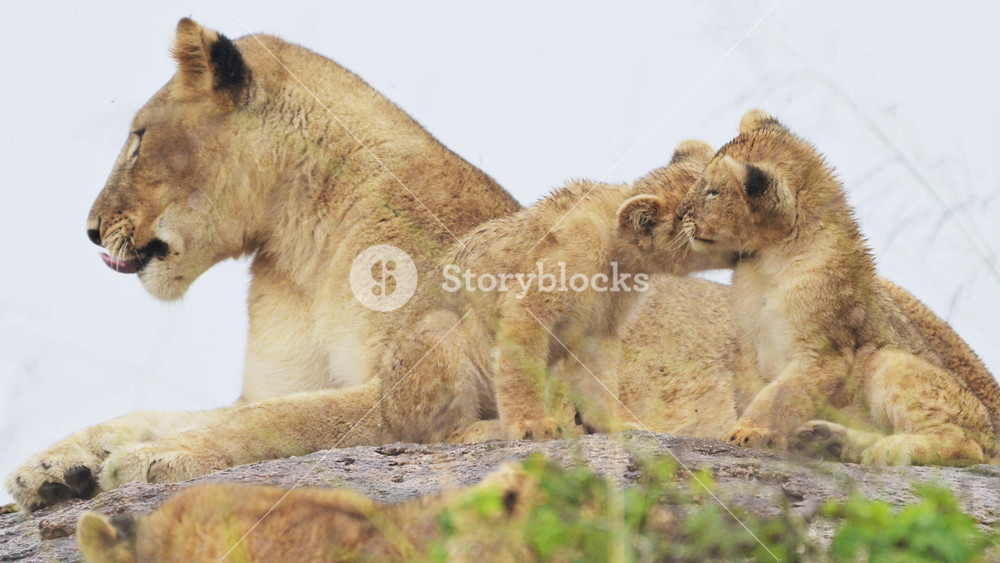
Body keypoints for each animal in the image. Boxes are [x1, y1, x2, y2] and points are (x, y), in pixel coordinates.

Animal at [6, 18, 740, 511]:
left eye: (138, 138)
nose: (90, 230)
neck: (302, 251)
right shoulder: (272, 382)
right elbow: (160, 411)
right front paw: (51, 467)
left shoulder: (409, 382)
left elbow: (279, 422)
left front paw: (156, 458)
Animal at [677, 110, 1000, 465]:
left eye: (712, 191)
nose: (679, 214)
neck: (767, 261)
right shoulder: (748, 343)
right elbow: (752, 389)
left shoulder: (824, 349)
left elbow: (780, 394)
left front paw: (747, 432)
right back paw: (826, 439)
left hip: (888, 361)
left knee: (966, 446)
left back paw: (889, 448)